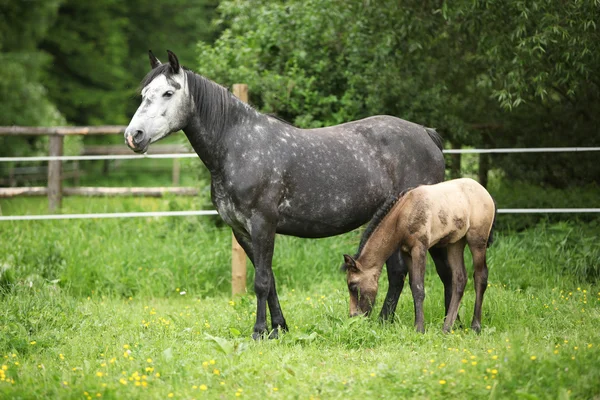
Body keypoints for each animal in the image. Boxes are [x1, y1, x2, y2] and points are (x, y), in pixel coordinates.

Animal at [123, 49, 450, 338]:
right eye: (144, 93)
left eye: (168, 93)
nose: (133, 136)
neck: (239, 147)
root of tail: (426, 133)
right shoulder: (242, 231)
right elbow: (270, 280)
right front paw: (279, 328)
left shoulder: (263, 225)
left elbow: (260, 281)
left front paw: (258, 332)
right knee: (397, 272)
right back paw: (385, 322)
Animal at [344, 180, 494, 332]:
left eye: (353, 286)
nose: (353, 316)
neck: (403, 215)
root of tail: (484, 191)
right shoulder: (406, 252)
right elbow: (413, 286)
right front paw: (419, 325)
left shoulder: (420, 248)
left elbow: (418, 287)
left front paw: (419, 328)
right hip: (455, 243)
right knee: (460, 278)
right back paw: (446, 328)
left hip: (477, 240)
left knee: (480, 276)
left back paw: (475, 326)